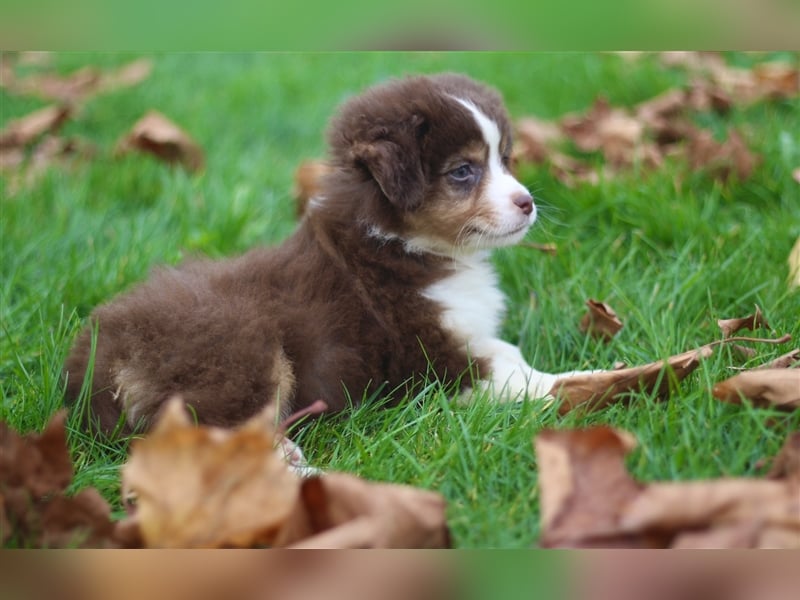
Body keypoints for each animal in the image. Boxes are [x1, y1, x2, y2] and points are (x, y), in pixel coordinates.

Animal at [62, 72, 584, 436]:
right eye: (463, 171)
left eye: (506, 159)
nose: (528, 203)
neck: (409, 247)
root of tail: (97, 365)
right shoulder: (434, 363)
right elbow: (527, 380)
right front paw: (589, 380)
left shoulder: (466, 335)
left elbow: (509, 351)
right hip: (242, 348)